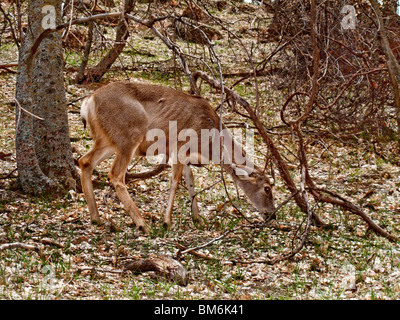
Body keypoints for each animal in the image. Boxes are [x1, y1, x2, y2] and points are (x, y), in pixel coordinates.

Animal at [79, 81, 276, 232]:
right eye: (267, 188)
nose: (272, 214)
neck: (209, 144)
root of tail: (88, 101)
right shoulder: (180, 147)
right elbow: (175, 181)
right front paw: (167, 222)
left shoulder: (187, 155)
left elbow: (191, 181)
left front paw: (198, 219)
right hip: (129, 135)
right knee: (115, 174)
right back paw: (142, 224)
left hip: (107, 140)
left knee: (85, 161)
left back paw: (96, 217)